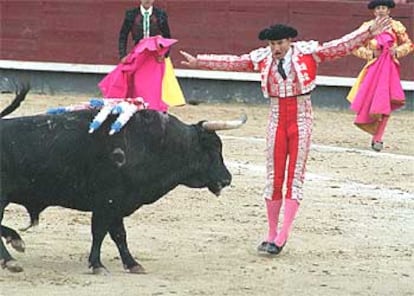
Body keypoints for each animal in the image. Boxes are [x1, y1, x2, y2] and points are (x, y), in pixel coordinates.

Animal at [0, 95, 246, 272]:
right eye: (212, 148)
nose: (227, 179)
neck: (155, 144)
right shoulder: (108, 201)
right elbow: (100, 232)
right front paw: (97, 265)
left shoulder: (118, 203)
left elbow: (119, 234)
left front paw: (132, 264)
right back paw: (12, 257)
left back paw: (15, 244)